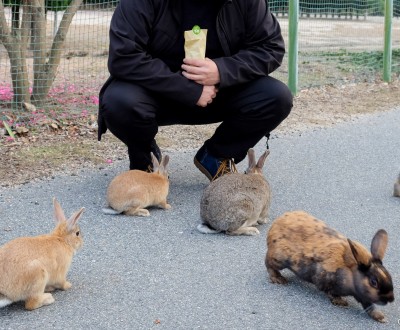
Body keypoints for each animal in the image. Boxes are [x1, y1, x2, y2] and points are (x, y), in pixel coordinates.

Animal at [266, 211, 394, 322]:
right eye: (373, 282)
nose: (391, 299)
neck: (351, 273)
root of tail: (274, 226)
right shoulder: (326, 279)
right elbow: (331, 293)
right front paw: (341, 302)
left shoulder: (363, 297)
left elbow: (369, 306)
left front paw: (381, 317)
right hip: (278, 259)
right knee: (268, 263)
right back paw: (278, 279)